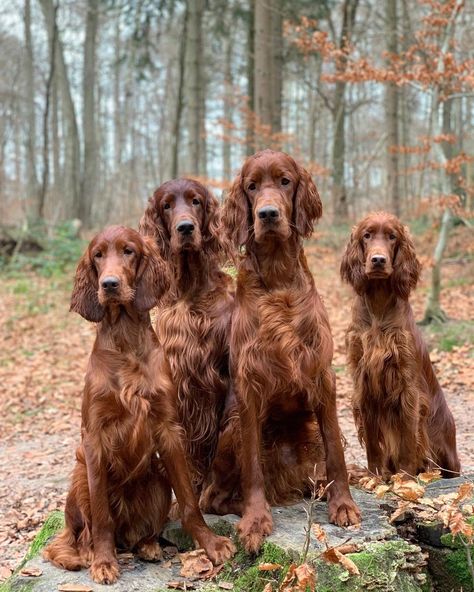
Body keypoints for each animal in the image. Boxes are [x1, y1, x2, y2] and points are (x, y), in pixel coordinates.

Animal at [45, 225, 234, 584]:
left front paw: (211, 544)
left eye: (128, 251)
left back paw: (148, 545)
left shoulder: (168, 428)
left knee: (140, 533)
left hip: (157, 476)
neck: (126, 341)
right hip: (80, 476)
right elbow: (101, 516)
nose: (109, 284)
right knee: (81, 534)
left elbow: (189, 502)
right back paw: (90, 552)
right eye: (97, 255)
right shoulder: (94, 437)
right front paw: (104, 562)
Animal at [200, 150, 360, 552]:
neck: (278, 279)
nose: (268, 214)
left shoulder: (322, 377)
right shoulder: (250, 386)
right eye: (252, 186)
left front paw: (343, 504)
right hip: (231, 430)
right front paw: (256, 519)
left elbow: (336, 454)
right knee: (214, 498)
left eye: (285, 181)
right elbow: (252, 465)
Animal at [340, 213, 460, 480]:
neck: (378, 306)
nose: (378, 260)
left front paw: (405, 479)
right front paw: (375, 478)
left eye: (392, 236)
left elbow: (407, 438)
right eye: (367, 235)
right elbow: (373, 443)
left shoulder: (407, 385)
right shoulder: (363, 383)